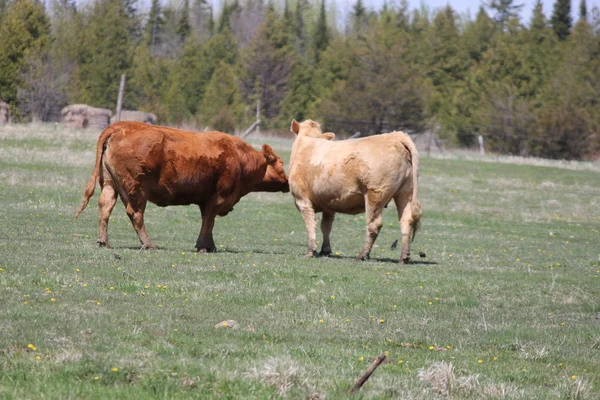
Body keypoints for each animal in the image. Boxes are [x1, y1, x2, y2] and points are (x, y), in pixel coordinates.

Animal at [75, 123, 288, 252]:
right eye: (281, 162)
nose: (288, 182)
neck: (239, 156)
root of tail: (121, 126)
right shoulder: (217, 197)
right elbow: (208, 221)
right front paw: (202, 246)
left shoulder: (206, 200)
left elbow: (208, 222)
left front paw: (210, 245)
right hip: (137, 191)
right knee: (135, 214)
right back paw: (149, 244)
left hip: (110, 185)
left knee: (105, 208)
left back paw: (104, 241)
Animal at [288, 119, 420, 262]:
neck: (307, 142)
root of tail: (395, 136)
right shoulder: (329, 204)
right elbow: (326, 226)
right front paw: (325, 250)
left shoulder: (302, 200)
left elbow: (311, 225)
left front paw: (311, 251)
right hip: (405, 193)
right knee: (406, 222)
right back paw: (404, 257)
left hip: (375, 194)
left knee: (374, 225)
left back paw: (362, 255)